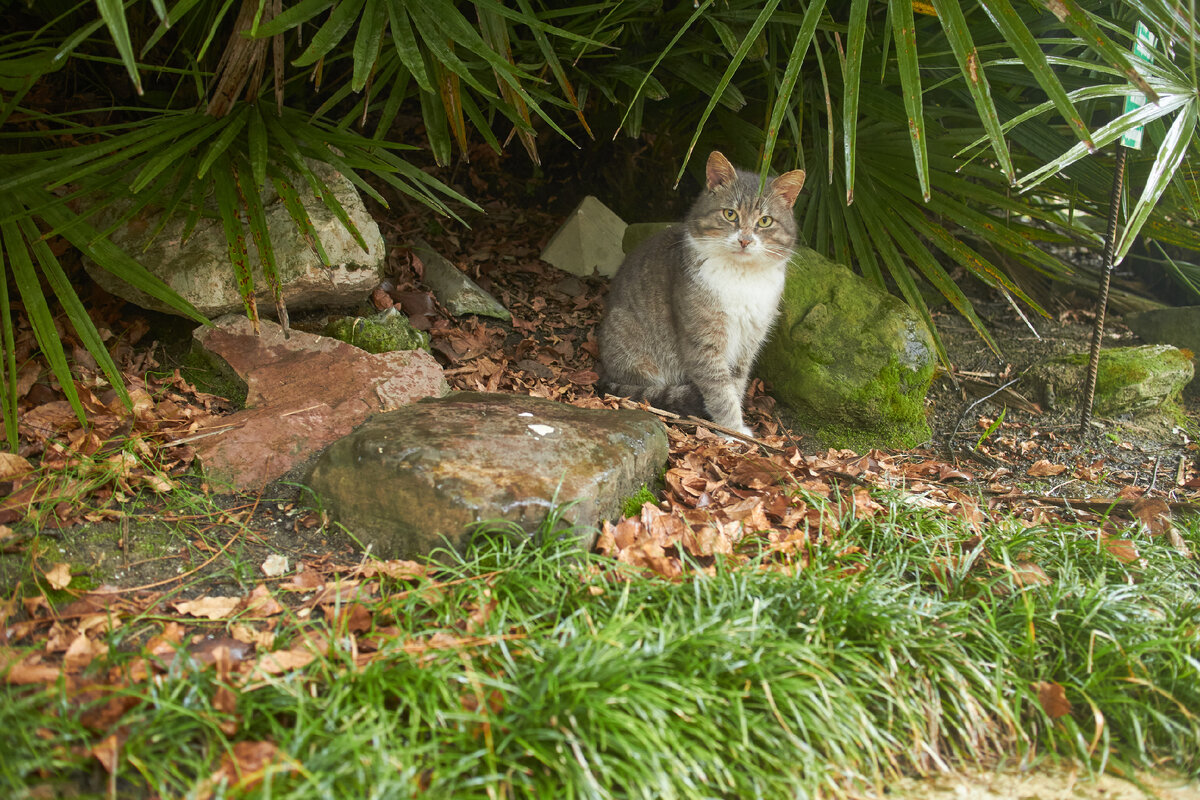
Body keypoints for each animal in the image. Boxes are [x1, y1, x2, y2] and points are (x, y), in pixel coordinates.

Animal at [597, 149, 806, 438]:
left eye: (765, 221)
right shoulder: (703, 341)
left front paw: (733, 428)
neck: (741, 277)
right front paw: (733, 432)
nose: (745, 240)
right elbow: (720, 390)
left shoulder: (748, 342)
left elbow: (735, 384)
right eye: (730, 214)